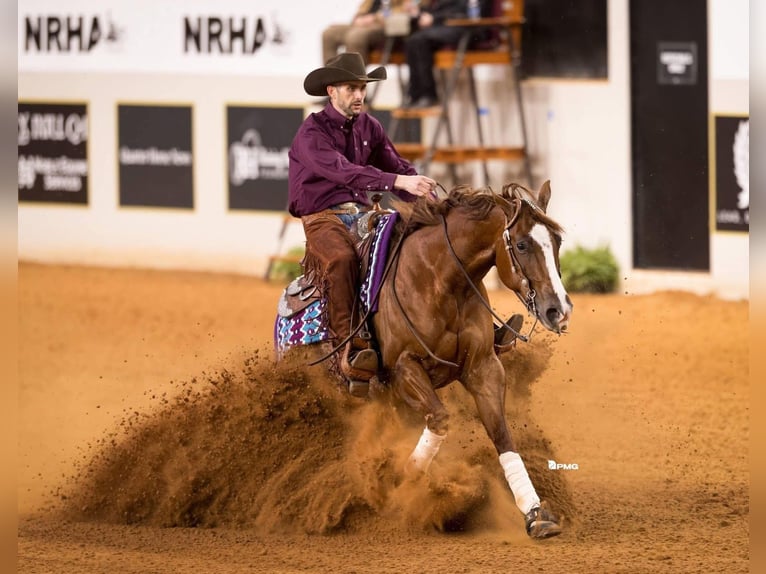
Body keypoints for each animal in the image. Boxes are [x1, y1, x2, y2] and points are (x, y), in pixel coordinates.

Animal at [275, 180, 573, 538]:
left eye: (557, 241)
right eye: (522, 244)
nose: (559, 310)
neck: (439, 280)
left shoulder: (484, 367)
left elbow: (501, 433)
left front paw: (535, 512)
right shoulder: (404, 369)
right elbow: (440, 419)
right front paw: (408, 482)